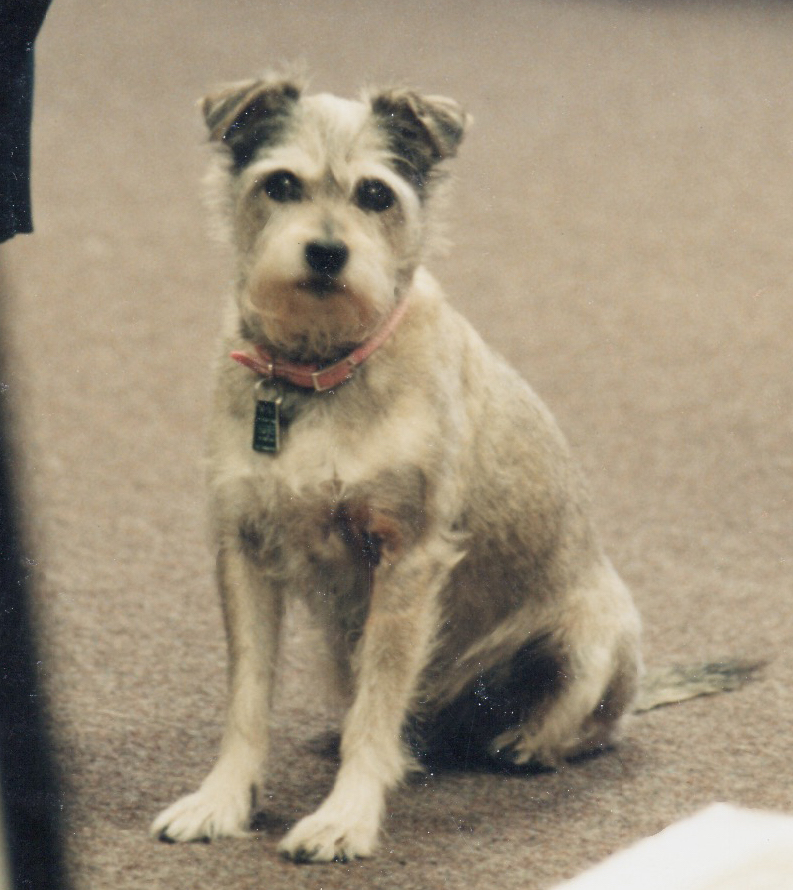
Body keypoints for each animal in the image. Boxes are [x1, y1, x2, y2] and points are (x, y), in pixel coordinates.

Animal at [150, 74, 756, 862]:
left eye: (376, 195)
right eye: (280, 184)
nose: (325, 253)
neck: (322, 374)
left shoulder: (405, 559)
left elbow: (378, 707)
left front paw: (345, 815)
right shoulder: (244, 552)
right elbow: (247, 699)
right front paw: (222, 799)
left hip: (587, 642)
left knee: (584, 728)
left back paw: (523, 742)